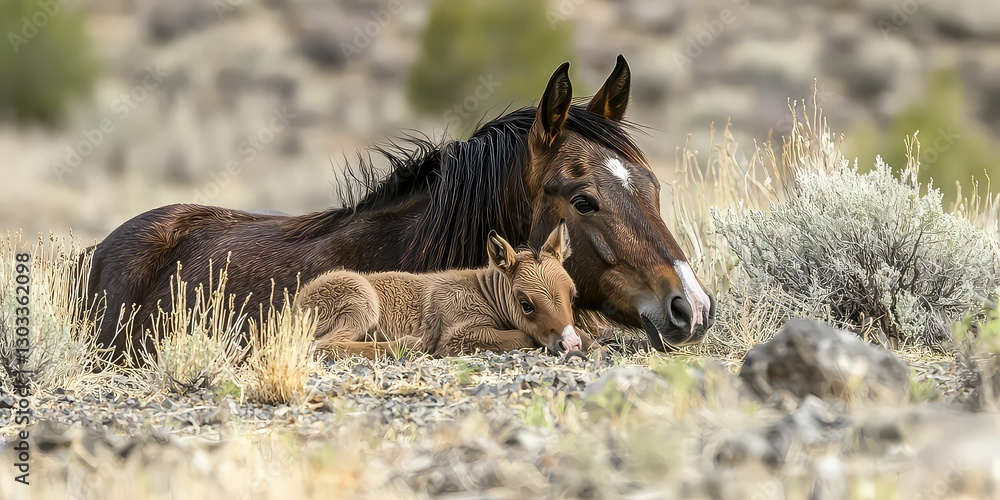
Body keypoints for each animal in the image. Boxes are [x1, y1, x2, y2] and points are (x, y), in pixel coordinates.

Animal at [295, 221, 586, 358]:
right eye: (526, 304)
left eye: (572, 296)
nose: (568, 345)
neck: (483, 293)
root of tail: (297, 305)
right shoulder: (457, 336)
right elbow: (523, 336)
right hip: (359, 301)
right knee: (322, 345)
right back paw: (408, 344)